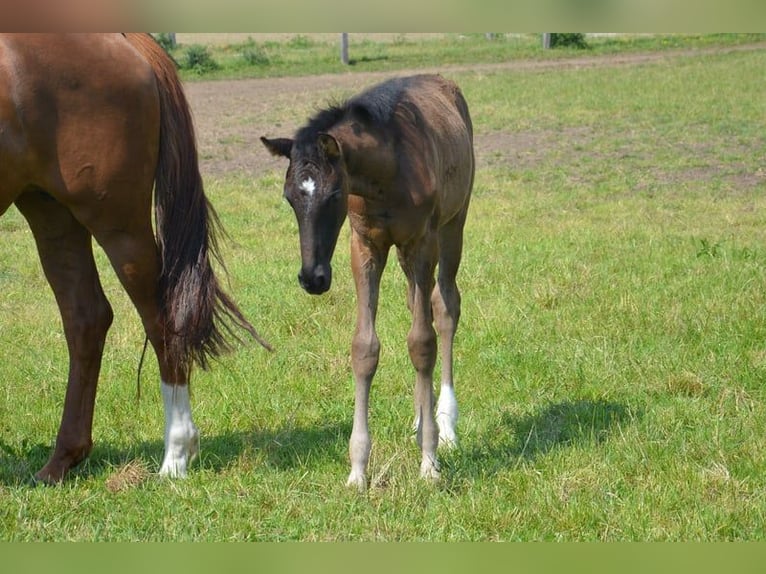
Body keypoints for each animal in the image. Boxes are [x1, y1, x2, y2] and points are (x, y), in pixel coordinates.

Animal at [1, 33, 268, 486]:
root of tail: (119, 38)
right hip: (51, 212)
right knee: (86, 318)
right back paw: (61, 461)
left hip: (117, 223)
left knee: (162, 320)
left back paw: (176, 455)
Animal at [268, 74, 476, 488]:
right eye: (289, 197)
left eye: (334, 194)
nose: (312, 278)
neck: (389, 172)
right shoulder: (364, 246)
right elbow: (365, 348)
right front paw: (357, 469)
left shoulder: (422, 242)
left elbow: (423, 342)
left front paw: (429, 461)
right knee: (418, 304)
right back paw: (420, 418)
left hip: (452, 226)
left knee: (445, 307)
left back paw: (446, 425)